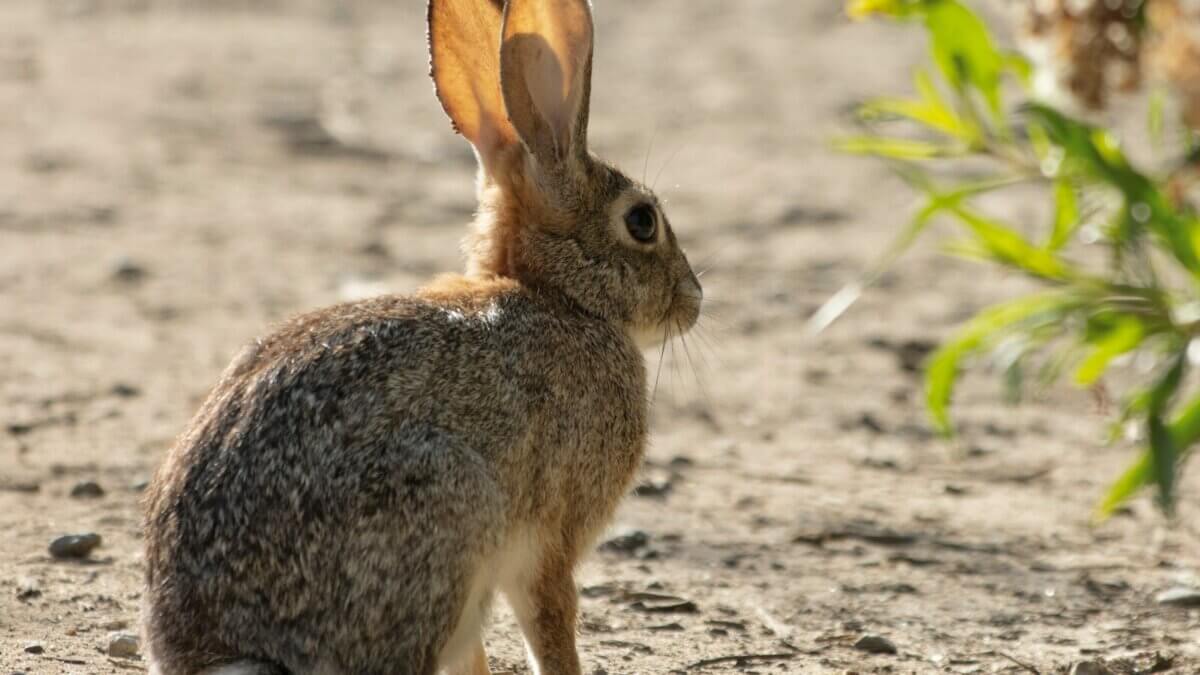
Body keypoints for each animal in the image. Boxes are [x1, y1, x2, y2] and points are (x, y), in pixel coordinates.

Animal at [141, 0, 702, 673]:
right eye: (642, 222)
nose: (695, 300)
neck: (561, 298)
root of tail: (222, 653)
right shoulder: (549, 544)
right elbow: (552, 625)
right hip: (442, 507)